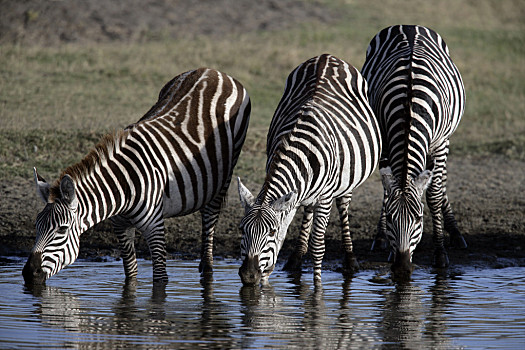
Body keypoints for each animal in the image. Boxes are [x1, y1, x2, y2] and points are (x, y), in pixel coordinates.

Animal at [21, 67, 250, 284]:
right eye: (37, 225)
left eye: (62, 229)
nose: (28, 274)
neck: (122, 187)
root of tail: (214, 71)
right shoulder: (120, 225)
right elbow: (130, 274)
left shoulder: (155, 226)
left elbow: (160, 278)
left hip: (224, 176)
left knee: (209, 219)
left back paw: (208, 268)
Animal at [235, 54, 378, 284]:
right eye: (241, 230)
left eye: (271, 232)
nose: (249, 275)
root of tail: (326, 56)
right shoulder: (290, 193)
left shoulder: (326, 197)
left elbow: (318, 247)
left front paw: (317, 288)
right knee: (308, 209)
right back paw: (296, 259)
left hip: (347, 179)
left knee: (343, 206)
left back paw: (350, 260)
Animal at [360, 24, 466, 280]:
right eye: (391, 218)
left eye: (418, 218)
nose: (401, 268)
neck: (410, 106)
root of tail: (409, 26)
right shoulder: (386, 141)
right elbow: (388, 188)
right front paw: (387, 244)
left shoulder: (439, 143)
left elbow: (434, 195)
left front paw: (440, 254)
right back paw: (379, 238)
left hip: (445, 140)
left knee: (440, 182)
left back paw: (455, 232)